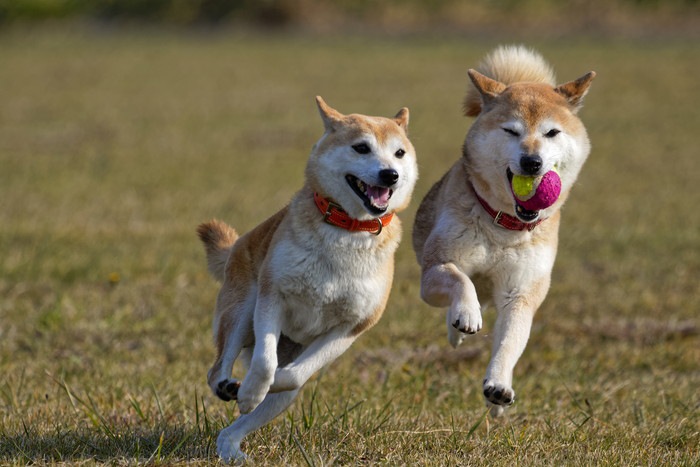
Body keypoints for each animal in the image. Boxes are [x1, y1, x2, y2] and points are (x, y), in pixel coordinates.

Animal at [197, 97, 416, 462]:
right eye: (361, 147)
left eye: (399, 153)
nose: (391, 175)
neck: (347, 230)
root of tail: (239, 243)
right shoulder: (273, 296)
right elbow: (265, 363)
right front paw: (252, 389)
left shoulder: (351, 327)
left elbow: (295, 374)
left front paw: (267, 384)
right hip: (242, 311)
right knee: (219, 368)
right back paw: (229, 386)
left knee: (241, 422)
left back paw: (232, 449)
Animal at [412, 46, 592, 416]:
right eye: (511, 131)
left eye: (552, 133)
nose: (531, 162)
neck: (504, 226)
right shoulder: (436, 267)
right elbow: (459, 278)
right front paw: (466, 313)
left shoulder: (520, 291)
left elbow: (509, 343)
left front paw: (498, 387)